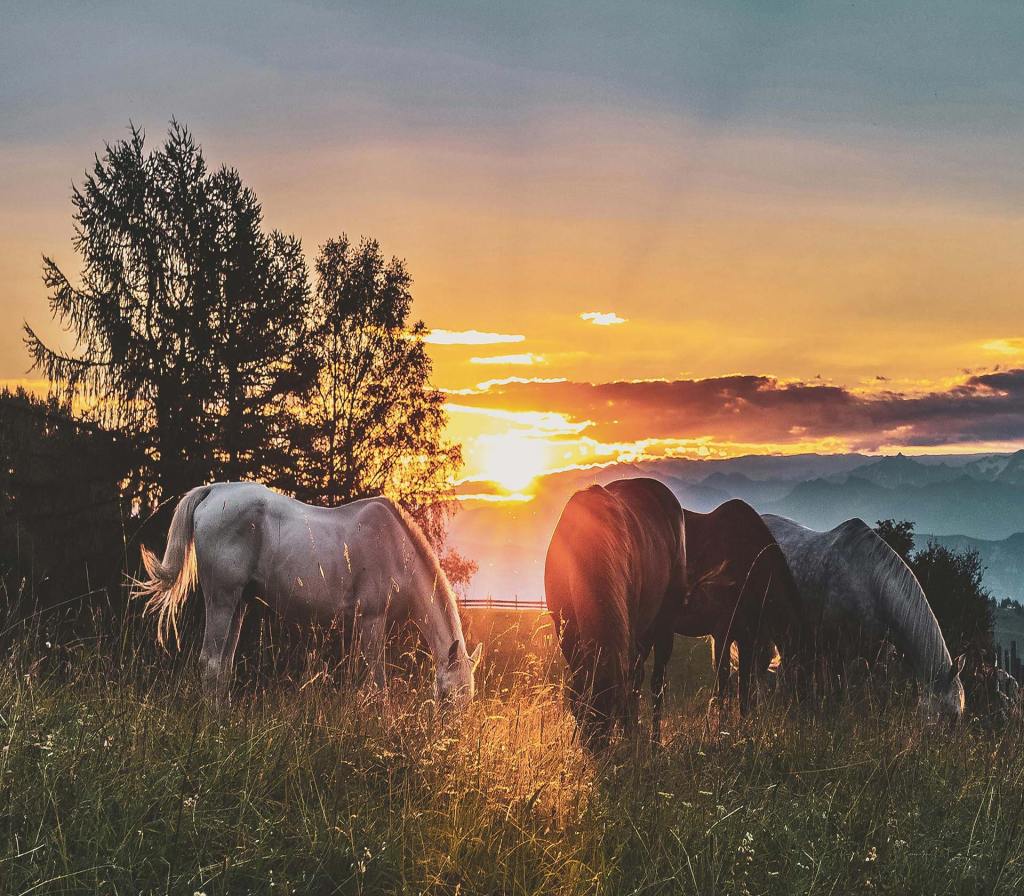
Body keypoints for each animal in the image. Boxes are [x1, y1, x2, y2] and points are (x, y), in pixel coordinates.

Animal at [135, 482, 481, 705]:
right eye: (448, 697)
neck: (396, 548)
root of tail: (214, 492)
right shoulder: (371, 620)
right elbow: (378, 684)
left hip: (239, 604)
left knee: (224, 666)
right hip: (221, 598)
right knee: (211, 663)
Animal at [545, 477, 686, 746]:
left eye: (610, 713)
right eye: (580, 711)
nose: (596, 748)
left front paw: (629, 735)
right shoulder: (566, 631)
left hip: (664, 624)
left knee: (655, 683)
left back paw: (653, 741)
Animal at [673, 500, 809, 717]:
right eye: (801, 672)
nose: (806, 713)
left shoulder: (748, 638)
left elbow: (744, 689)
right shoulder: (722, 635)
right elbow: (723, 686)